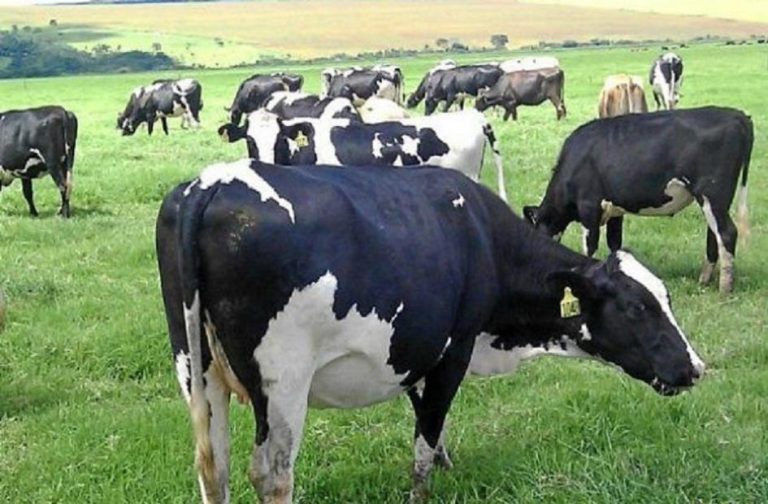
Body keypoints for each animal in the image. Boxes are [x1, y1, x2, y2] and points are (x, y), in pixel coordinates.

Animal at [157, 158, 705, 503]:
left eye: (666, 299)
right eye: (636, 307)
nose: (694, 367)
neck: (484, 235)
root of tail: (211, 183)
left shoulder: (416, 349)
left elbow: (426, 423)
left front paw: (447, 463)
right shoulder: (453, 350)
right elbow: (427, 433)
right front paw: (425, 485)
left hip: (197, 371)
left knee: (215, 467)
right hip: (283, 380)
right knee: (271, 473)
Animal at [522, 107, 752, 293]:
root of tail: (737, 115)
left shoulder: (589, 206)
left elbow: (590, 245)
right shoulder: (615, 210)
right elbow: (614, 243)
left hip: (712, 193)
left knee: (727, 233)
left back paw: (724, 288)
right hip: (714, 200)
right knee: (714, 234)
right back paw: (704, 280)